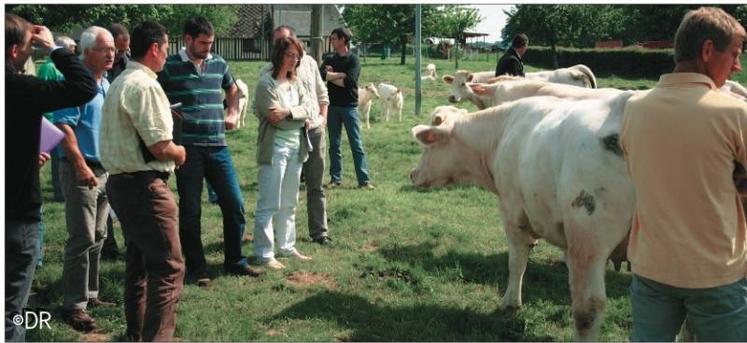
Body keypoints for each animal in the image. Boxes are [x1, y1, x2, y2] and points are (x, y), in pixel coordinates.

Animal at [410, 91, 636, 342]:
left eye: (427, 147)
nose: (412, 174)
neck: (500, 134)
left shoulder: (512, 212)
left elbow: (517, 263)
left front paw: (511, 302)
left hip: (589, 237)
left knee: (588, 308)